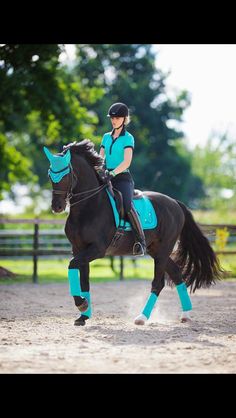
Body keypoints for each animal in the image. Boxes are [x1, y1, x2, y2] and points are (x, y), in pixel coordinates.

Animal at [43, 140, 223, 326]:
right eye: (50, 174)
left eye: (66, 174)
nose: (57, 206)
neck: (88, 207)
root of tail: (175, 202)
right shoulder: (79, 249)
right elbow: (84, 281)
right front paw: (83, 315)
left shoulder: (97, 249)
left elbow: (72, 265)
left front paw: (81, 304)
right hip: (156, 250)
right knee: (176, 273)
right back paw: (185, 314)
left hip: (163, 250)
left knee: (158, 283)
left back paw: (142, 317)